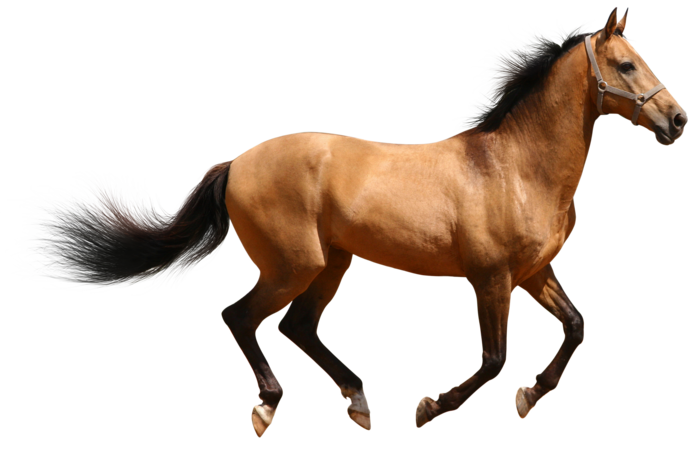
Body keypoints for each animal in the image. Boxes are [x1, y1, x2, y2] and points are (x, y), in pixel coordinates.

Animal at [7, 6, 688, 437]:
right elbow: (494, 358)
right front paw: (428, 408)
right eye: (626, 65)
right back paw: (268, 407)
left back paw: (358, 403)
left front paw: (527, 397)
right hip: (296, 263)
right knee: (242, 317)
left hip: (333, 262)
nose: (677, 120)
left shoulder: (533, 272)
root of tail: (236, 162)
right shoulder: (490, 277)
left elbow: (574, 328)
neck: (516, 166)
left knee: (298, 327)